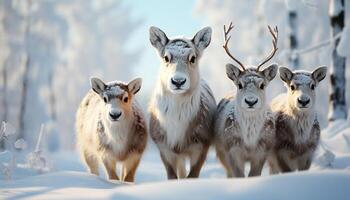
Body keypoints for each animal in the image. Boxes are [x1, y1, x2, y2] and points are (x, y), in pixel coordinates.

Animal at [148, 25, 216, 179]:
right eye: (166, 57)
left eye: (193, 58)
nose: (178, 81)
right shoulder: (164, 148)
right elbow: (173, 177)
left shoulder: (201, 146)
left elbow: (192, 176)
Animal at [215, 22, 278, 177]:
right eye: (239, 84)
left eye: (262, 85)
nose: (251, 101)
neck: (249, 142)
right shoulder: (232, 150)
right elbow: (238, 175)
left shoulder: (262, 150)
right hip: (221, 151)